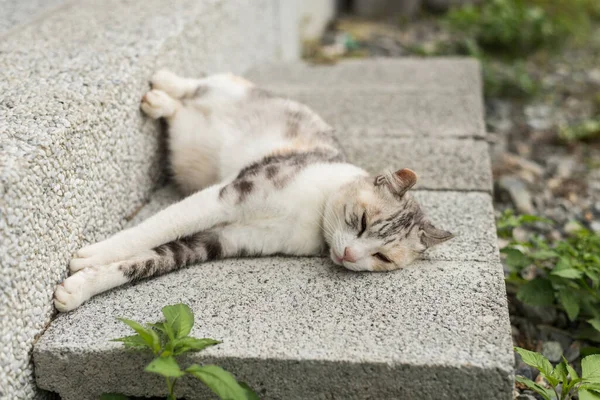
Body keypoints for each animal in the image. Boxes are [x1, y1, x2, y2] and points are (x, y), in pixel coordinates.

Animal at [54, 69, 452, 312]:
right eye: (363, 220)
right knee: (204, 84)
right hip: (230, 95)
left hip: (190, 145)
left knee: (183, 109)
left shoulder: (225, 239)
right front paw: (93, 254)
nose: (350, 255)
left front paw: (78, 287)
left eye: (382, 257)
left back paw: (161, 102)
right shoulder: (225, 197)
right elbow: (155, 227)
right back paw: (165, 83)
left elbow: (151, 259)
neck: (312, 214)